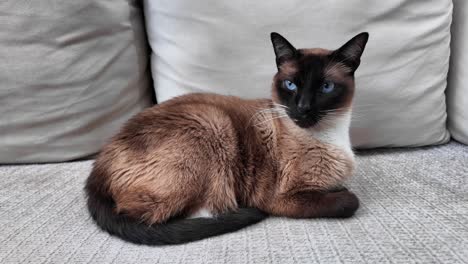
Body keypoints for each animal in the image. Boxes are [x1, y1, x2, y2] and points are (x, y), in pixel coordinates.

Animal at [86, 32, 368, 244]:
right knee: (159, 215)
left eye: (326, 88)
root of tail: (96, 172)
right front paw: (342, 193)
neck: (327, 135)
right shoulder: (284, 197)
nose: (303, 108)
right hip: (212, 121)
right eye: (291, 85)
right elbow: (350, 200)